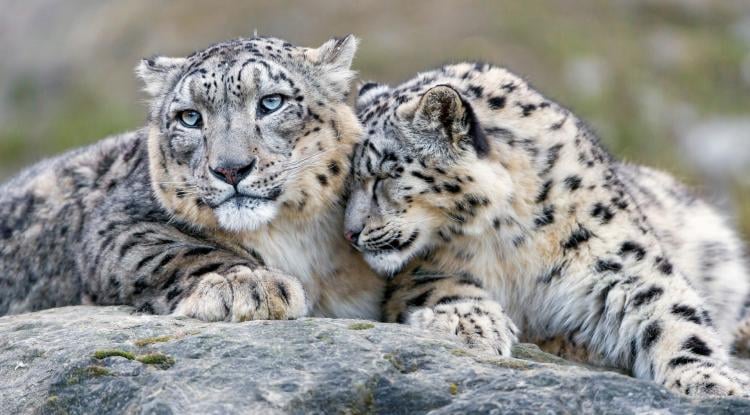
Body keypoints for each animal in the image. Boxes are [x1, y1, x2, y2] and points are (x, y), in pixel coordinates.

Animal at [0, 35, 383, 322]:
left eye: (272, 102)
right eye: (190, 117)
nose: (231, 168)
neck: (294, 239)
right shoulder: (115, 225)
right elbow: (176, 250)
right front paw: (250, 286)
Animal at [345, 62, 750, 398]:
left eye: (382, 175)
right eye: (346, 184)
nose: (350, 234)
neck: (508, 239)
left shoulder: (623, 260)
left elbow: (674, 315)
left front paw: (712, 380)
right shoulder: (420, 269)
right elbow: (442, 285)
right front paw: (468, 325)